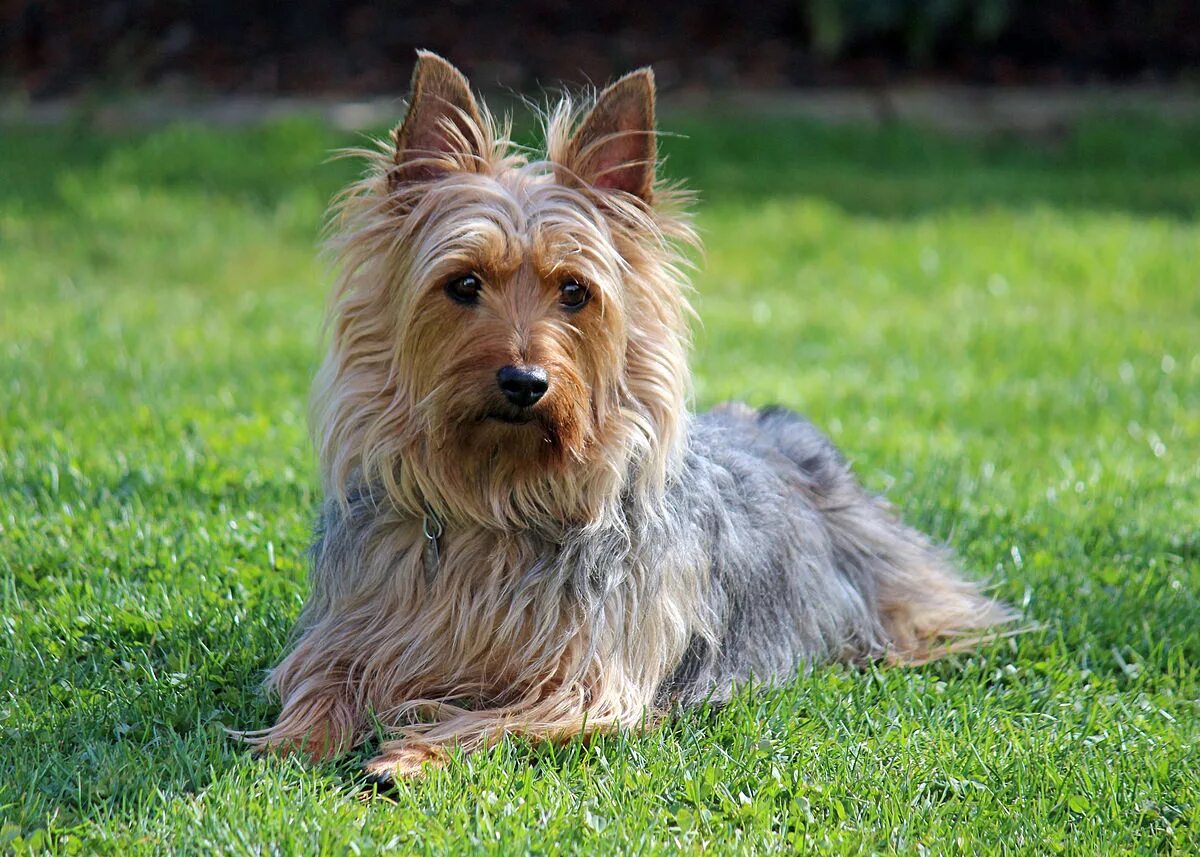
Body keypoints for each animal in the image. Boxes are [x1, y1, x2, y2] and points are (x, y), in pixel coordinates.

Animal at [246, 50, 1012, 777]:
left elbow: (497, 721)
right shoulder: (349, 631)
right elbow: (322, 682)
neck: (498, 498)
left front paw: (408, 756)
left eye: (575, 291)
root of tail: (769, 423)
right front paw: (291, 742)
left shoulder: (589, 678)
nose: (525, 381)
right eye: (462, 284)